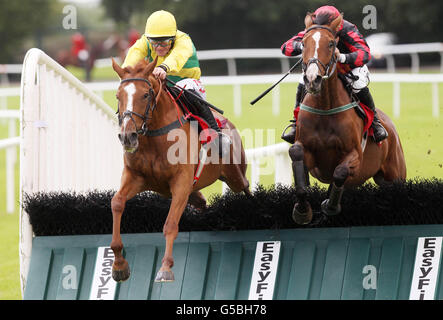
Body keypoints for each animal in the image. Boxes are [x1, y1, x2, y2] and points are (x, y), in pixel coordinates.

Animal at [109, 58, 251, 282]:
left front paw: (165, 267)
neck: (155, 137)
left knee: (245, 186)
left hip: (235, 175)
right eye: (118, 96)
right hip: (196, 192)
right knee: (201, 203)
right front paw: (119, 265)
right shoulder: (135, 177)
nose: (127, 136)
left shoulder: (181, 182)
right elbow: (116, 203)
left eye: (145, 94)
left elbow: (170, 224)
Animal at [290, 13, 408, 225]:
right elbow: (296, 154)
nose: (312, 79)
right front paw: (302, 210)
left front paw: (330, 206)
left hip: (395, 175)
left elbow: (340, 172)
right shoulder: (307, 150)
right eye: (303, 43)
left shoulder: (354, 156)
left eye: (331, 44)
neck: (325, 108)